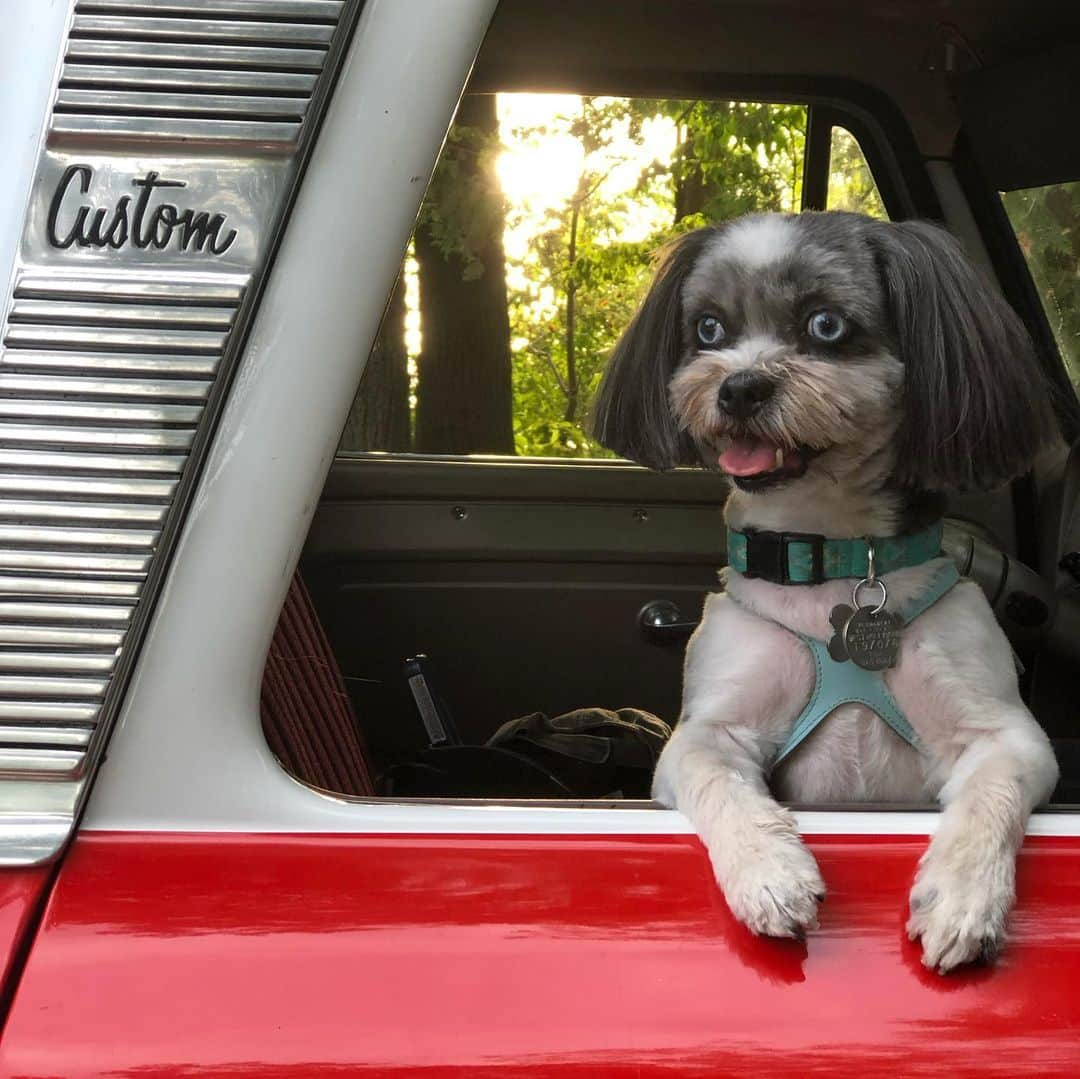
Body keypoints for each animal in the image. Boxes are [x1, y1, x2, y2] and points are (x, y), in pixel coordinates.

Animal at [591, 212, 1054, 980]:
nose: (740, 386)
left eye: (826, 324)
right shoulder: (705, 734)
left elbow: (992, 795)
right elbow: (720, 782)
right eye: (709, 329)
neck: (828, 558)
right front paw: (769, 871)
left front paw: (964, 898)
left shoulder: (1006, 735)